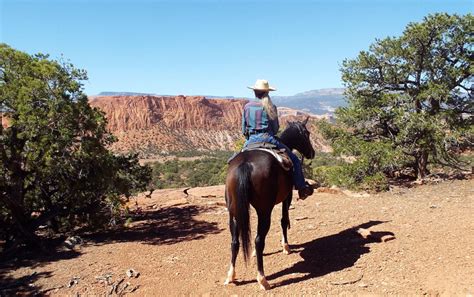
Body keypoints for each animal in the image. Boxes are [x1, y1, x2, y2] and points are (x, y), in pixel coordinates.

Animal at [223, 118, 314, 290]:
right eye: (307, 133)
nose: (312, 153)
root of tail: (245, 164)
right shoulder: (287, 196)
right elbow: (284, 220)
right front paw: (286, 247)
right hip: (264, 210)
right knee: (259, 240)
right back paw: (262, 279)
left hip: (234, 211)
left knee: (234, 241)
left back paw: (231, 276)